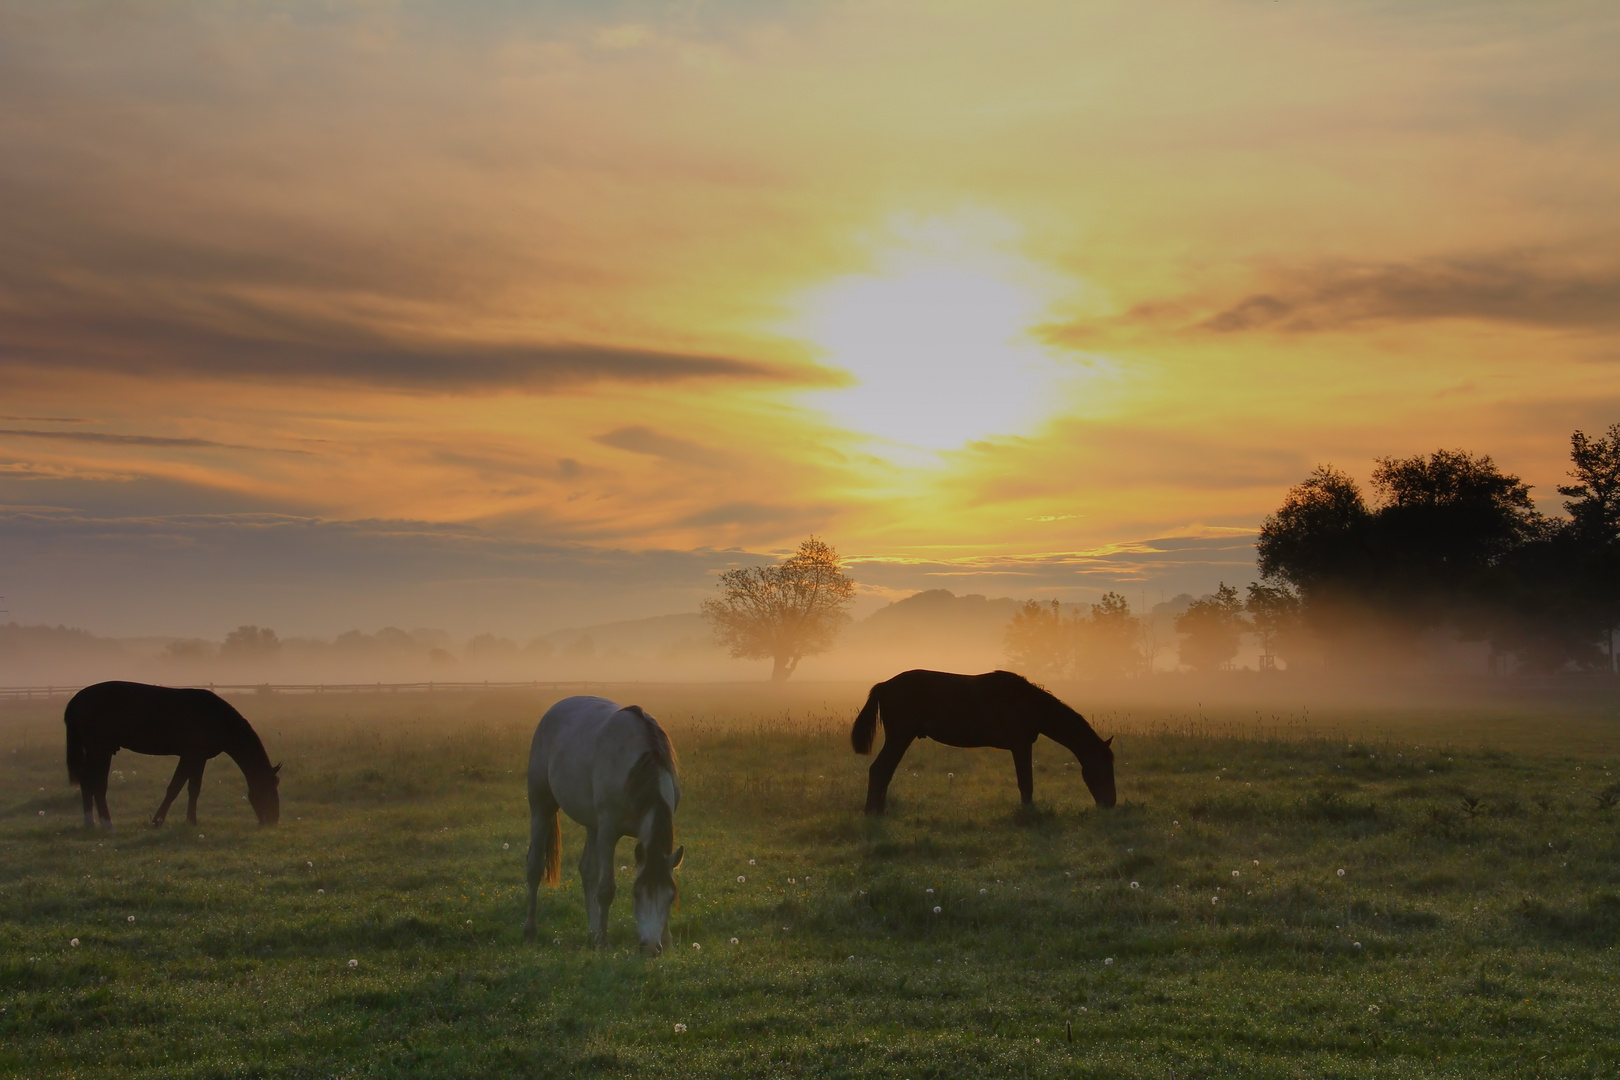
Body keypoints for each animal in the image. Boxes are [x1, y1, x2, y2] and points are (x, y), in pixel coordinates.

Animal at [64, 683, 281, 829]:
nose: (273, 820)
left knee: (87, 781)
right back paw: (107, 824)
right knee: (97, 784)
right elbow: (174, 788)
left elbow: (193, 789)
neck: (217, 717)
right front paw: (157, 821)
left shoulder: (199, 758)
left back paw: (90, 822)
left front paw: (191, 821)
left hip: (95, 752)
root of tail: (77, 698)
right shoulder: (189, 756)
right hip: (100, 750)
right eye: (269, 788)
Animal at [524, 693, 683, 952]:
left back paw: (592, 932)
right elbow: (606, 889)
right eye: (636, 893)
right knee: (534, 867)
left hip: (592, 824)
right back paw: (530, 930)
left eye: (670, 896)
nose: (651, 947)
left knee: (587, 870)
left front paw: (667, 939)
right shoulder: (609, 830)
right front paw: (604, 941)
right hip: (542, 807)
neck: (636, 767)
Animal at [848, 670, 1114, 816]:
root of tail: (884, 685)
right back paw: (872, 812)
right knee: (880, 770)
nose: (1110, 803)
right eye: (1104, 766)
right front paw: (1027, 813)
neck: (1029, 702)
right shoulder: (1020, 745)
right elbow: (1026, 783)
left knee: (884, 771)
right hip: (899, 737)